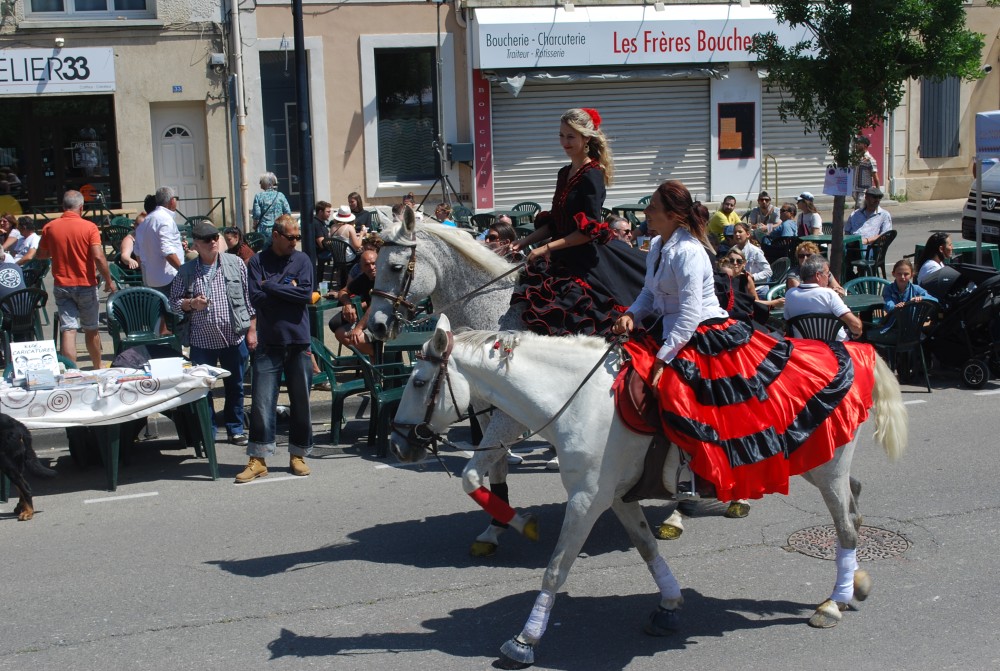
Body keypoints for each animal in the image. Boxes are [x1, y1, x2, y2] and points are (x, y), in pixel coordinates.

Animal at [388, 316, 908, 671]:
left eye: (418, 381)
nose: (397, 443)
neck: (578, 400)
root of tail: (852, 349)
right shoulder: (618, 498)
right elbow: (646, 548)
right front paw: (670, 605)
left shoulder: (587, 500)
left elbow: (556, 569)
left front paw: (525, 640)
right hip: (822, 468)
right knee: (855, 509)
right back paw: (855, 585)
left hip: (826, 468)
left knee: (845, 527)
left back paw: (833, 602)